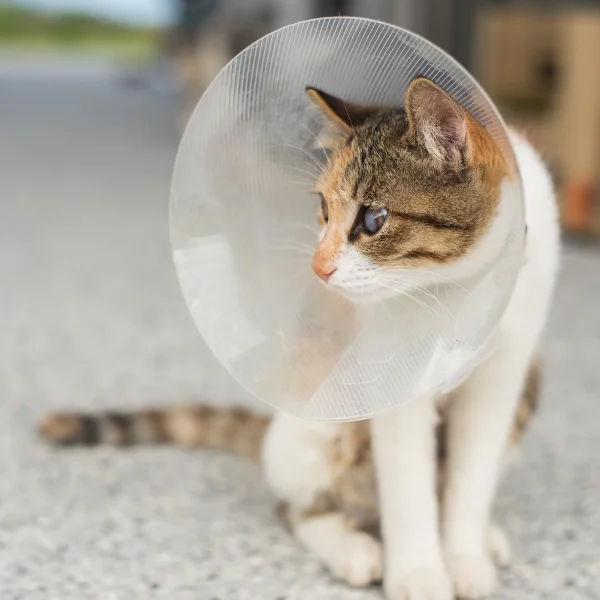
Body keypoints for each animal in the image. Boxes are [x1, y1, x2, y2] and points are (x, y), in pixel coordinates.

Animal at [39, 78, 560, 600]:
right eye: (324, 209)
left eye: (374, 219)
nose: (318, 266)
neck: (456, 292)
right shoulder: (397, 381)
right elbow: (408, 486)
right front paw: (420, 575)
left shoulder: (503, 377)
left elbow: (470, 479)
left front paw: (464, 559)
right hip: (324, 419)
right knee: (299, 508)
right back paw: (355, 550)